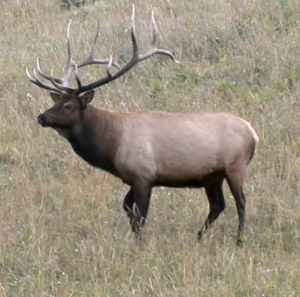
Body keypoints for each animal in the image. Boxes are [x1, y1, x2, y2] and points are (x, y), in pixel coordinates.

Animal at [27, 5, 258, 245]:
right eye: (56, 102)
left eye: (69, 105)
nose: (41, 117)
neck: (112, 146)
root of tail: (253, 133)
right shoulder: (131, 178)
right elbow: (128, 209)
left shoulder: (143, 175)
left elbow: (140, 215)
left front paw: (141, 245)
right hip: (213, 176)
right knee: (217, 205)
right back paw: (199, 237)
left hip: (235, 166)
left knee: (241, 201)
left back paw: (239, 240)